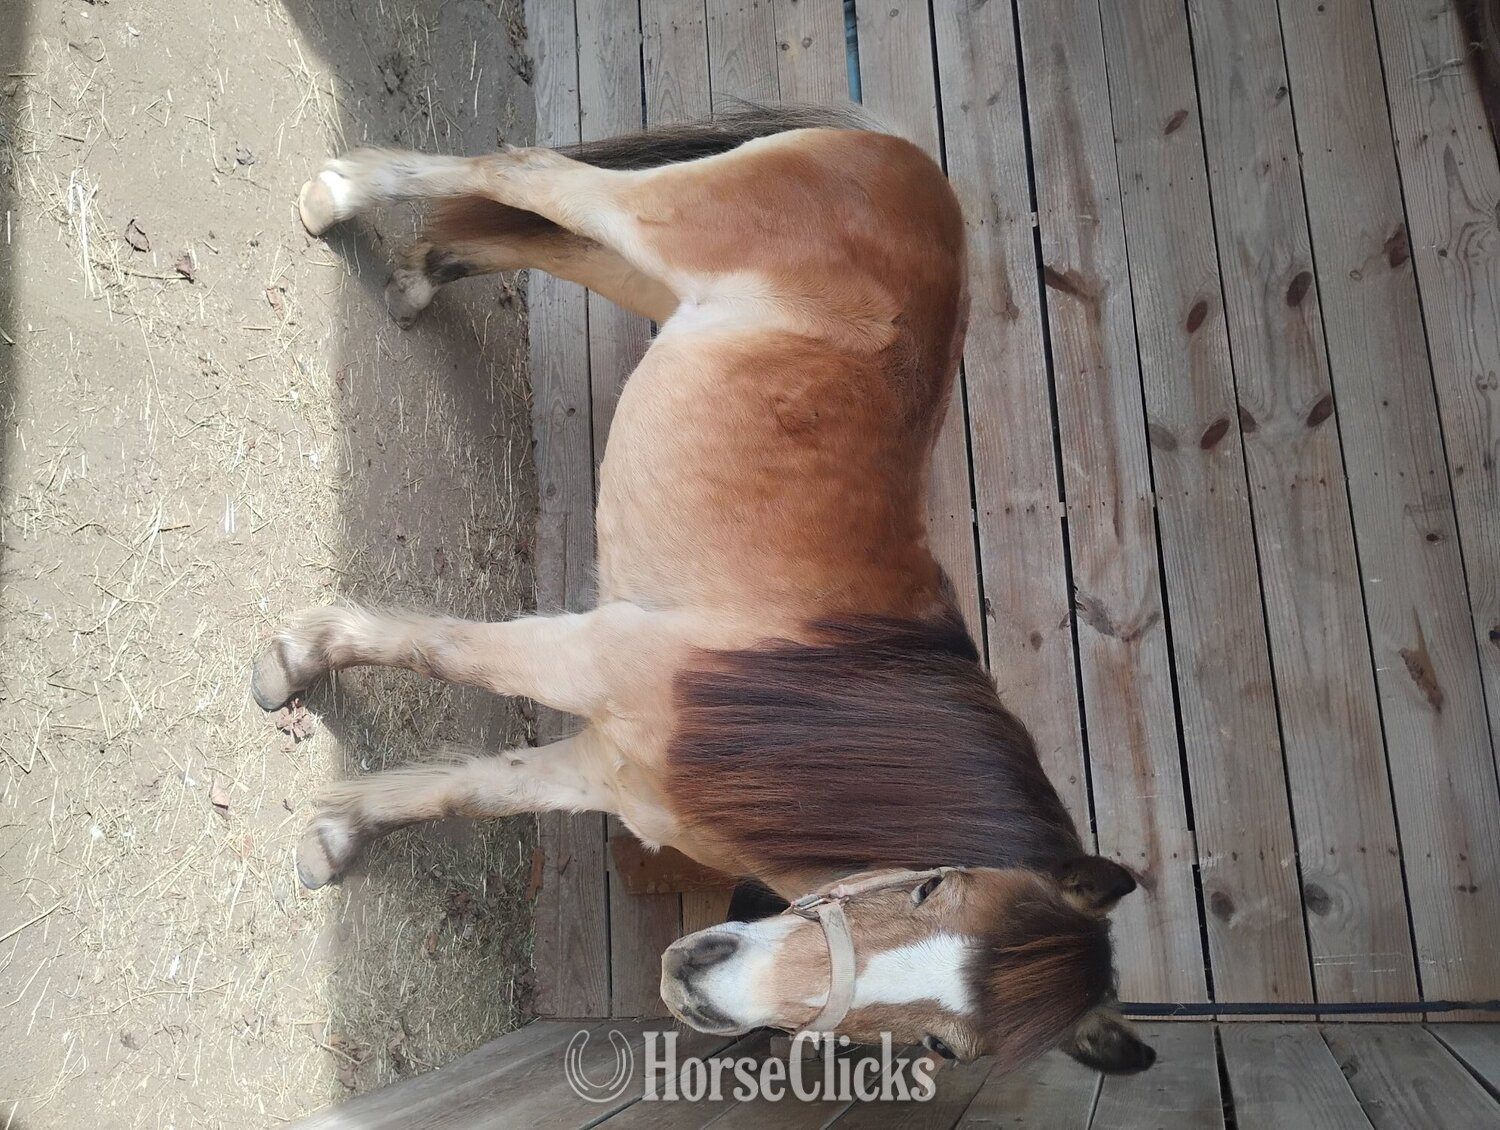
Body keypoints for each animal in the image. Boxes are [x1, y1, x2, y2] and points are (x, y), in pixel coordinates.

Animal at [251, 105, 1156, 1077]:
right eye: (929, 887)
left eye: (945, 1048)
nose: (701, 981)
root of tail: (908, 160)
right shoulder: (586, 656)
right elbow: (441, 650)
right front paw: (292, 664)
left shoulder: (606, 772)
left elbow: (470, 790)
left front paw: (339, 837)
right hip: (655, 225)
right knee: (527, 173)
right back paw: (338, 195)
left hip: (647, 280)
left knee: (538, 235)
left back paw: (419, 277)